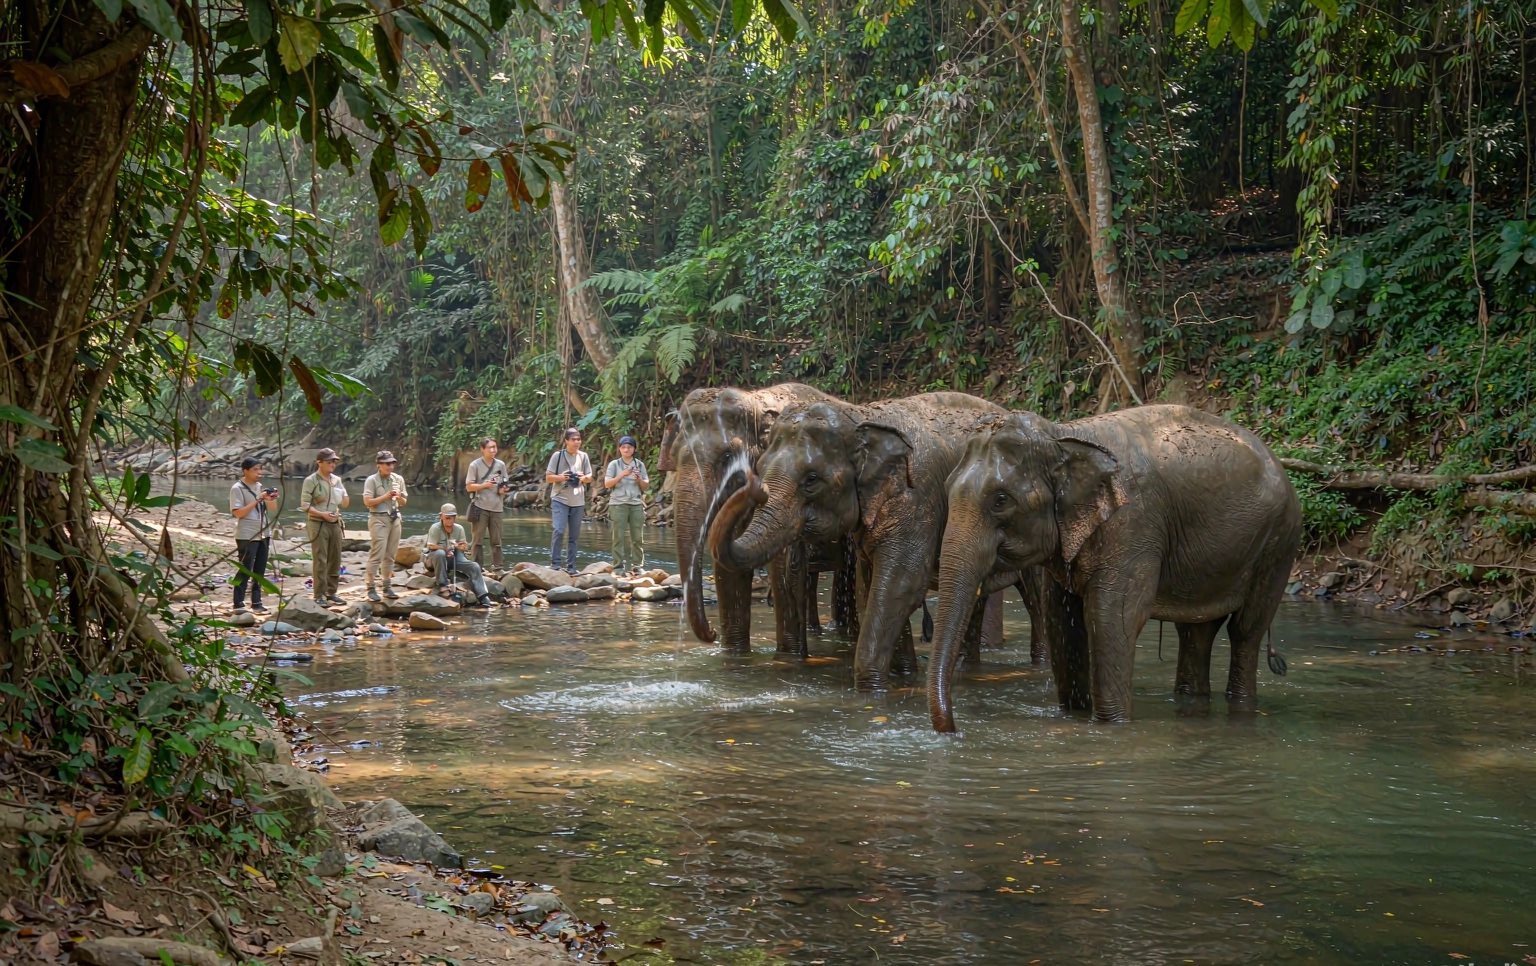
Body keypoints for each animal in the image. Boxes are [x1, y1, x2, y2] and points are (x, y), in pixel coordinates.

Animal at [664, 383, 857, 655]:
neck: (756, 399)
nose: (712, 633)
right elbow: (729, 570)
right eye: (674, 455)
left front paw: (789, 657)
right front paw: (735, 655)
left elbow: (786, 569)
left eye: (728, 457)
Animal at [708, 392, 1037, 690]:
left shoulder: (916, 500)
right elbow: (870, 586)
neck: (860, 415)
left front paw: (871, 688)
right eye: (761, 468)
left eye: (811, 480)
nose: (751, 483)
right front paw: (903, 676)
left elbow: (901, 584)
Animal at [928, 404, 1301, 730]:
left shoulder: (1132, 525)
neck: (1063, 435)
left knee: (1246, 629)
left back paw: (1241, 704)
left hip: (1279, 542)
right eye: (946, 489)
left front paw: (1112, 725)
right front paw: (1075, 714)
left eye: (1001, 500)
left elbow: (1112, 617)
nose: (954, 729)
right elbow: (1061, 618)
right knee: (1196, 632)